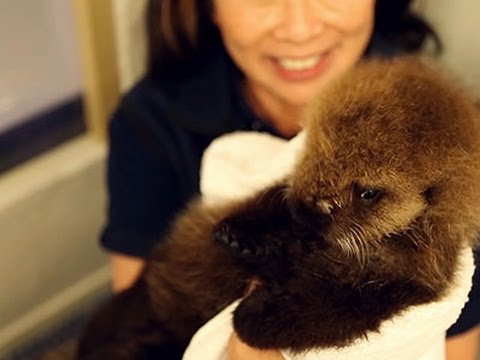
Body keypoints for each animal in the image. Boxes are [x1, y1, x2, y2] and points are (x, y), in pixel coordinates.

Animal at [77, 57, 480, 358]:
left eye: (368, 193)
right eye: (315, 148)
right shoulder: (284, 196)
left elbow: (329, 308)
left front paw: (249, 315)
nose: (307, 208)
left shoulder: (400, 283)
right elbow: (273, 203)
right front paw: (238, 235)